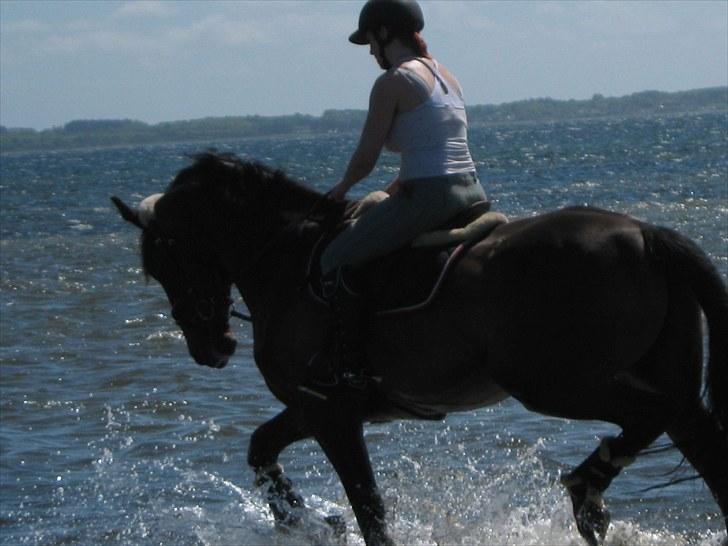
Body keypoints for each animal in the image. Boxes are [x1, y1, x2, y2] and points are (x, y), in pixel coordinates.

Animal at [111, 152, 724, 544]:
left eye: (164, 258)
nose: (210, 347)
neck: (286, 258)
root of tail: (646, 235)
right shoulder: (315, 406)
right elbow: (262, 450)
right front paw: (307, 522)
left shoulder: (331, 412)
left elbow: (369, 509)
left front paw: (319, 520)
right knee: (696, 433)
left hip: (555, 382)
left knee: (655, 414)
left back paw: (586, 491)